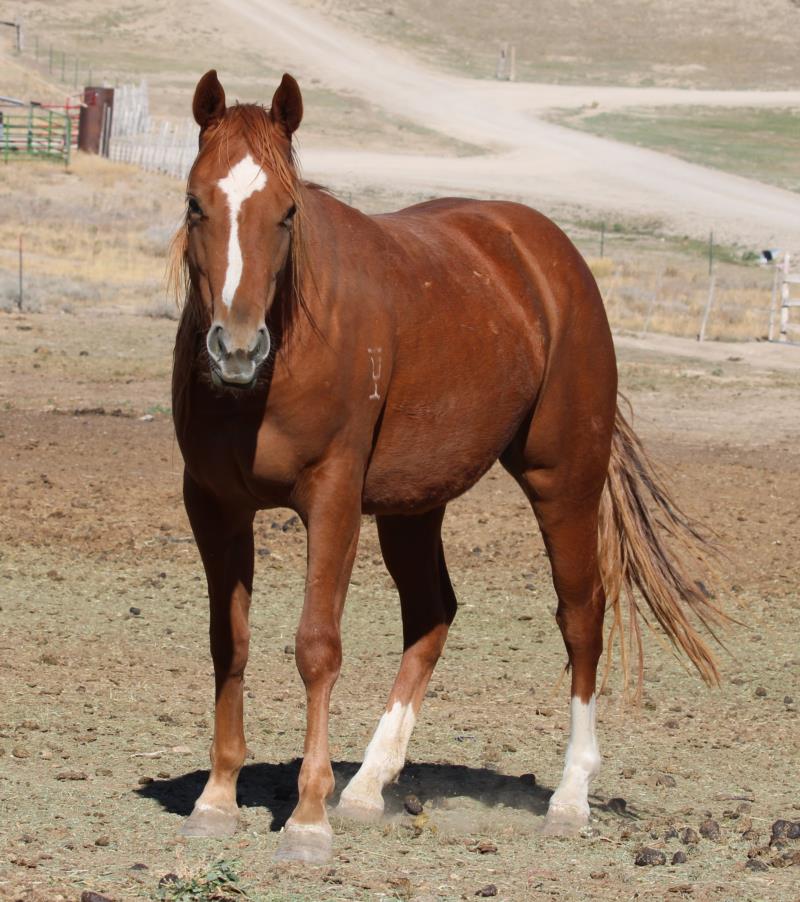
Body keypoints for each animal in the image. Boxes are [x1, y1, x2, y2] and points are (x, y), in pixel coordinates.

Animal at [170, 69, 724, 860]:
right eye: (196, 203)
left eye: (287, 213)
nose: (236, 349)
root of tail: (546, 252)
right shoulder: (214, 505)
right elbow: (230, 643)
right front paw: (216, 799)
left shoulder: (332, 498)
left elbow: (316, 645)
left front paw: (307, 820)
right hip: (412, 507)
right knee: (432, 616)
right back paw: (368, 785)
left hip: (564, 480)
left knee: (581, 615)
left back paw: (570, 796)